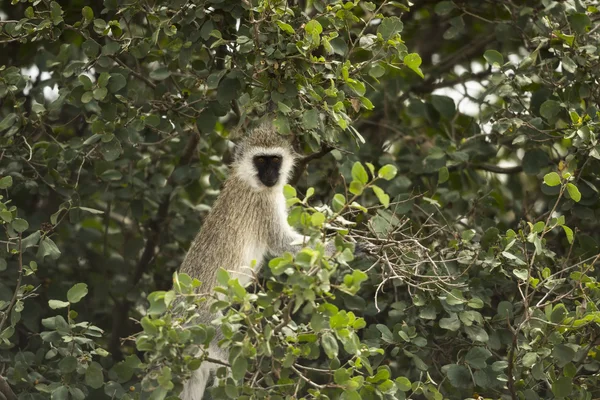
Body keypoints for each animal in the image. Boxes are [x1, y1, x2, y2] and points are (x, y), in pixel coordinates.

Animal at [178, 122, 338, 400]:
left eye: (275, 160)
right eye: (260, 160)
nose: (271, 175)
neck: (249, 179)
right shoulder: (264, 203)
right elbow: (283, 243)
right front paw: (346, 246)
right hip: (207, 324)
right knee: (228, 359)